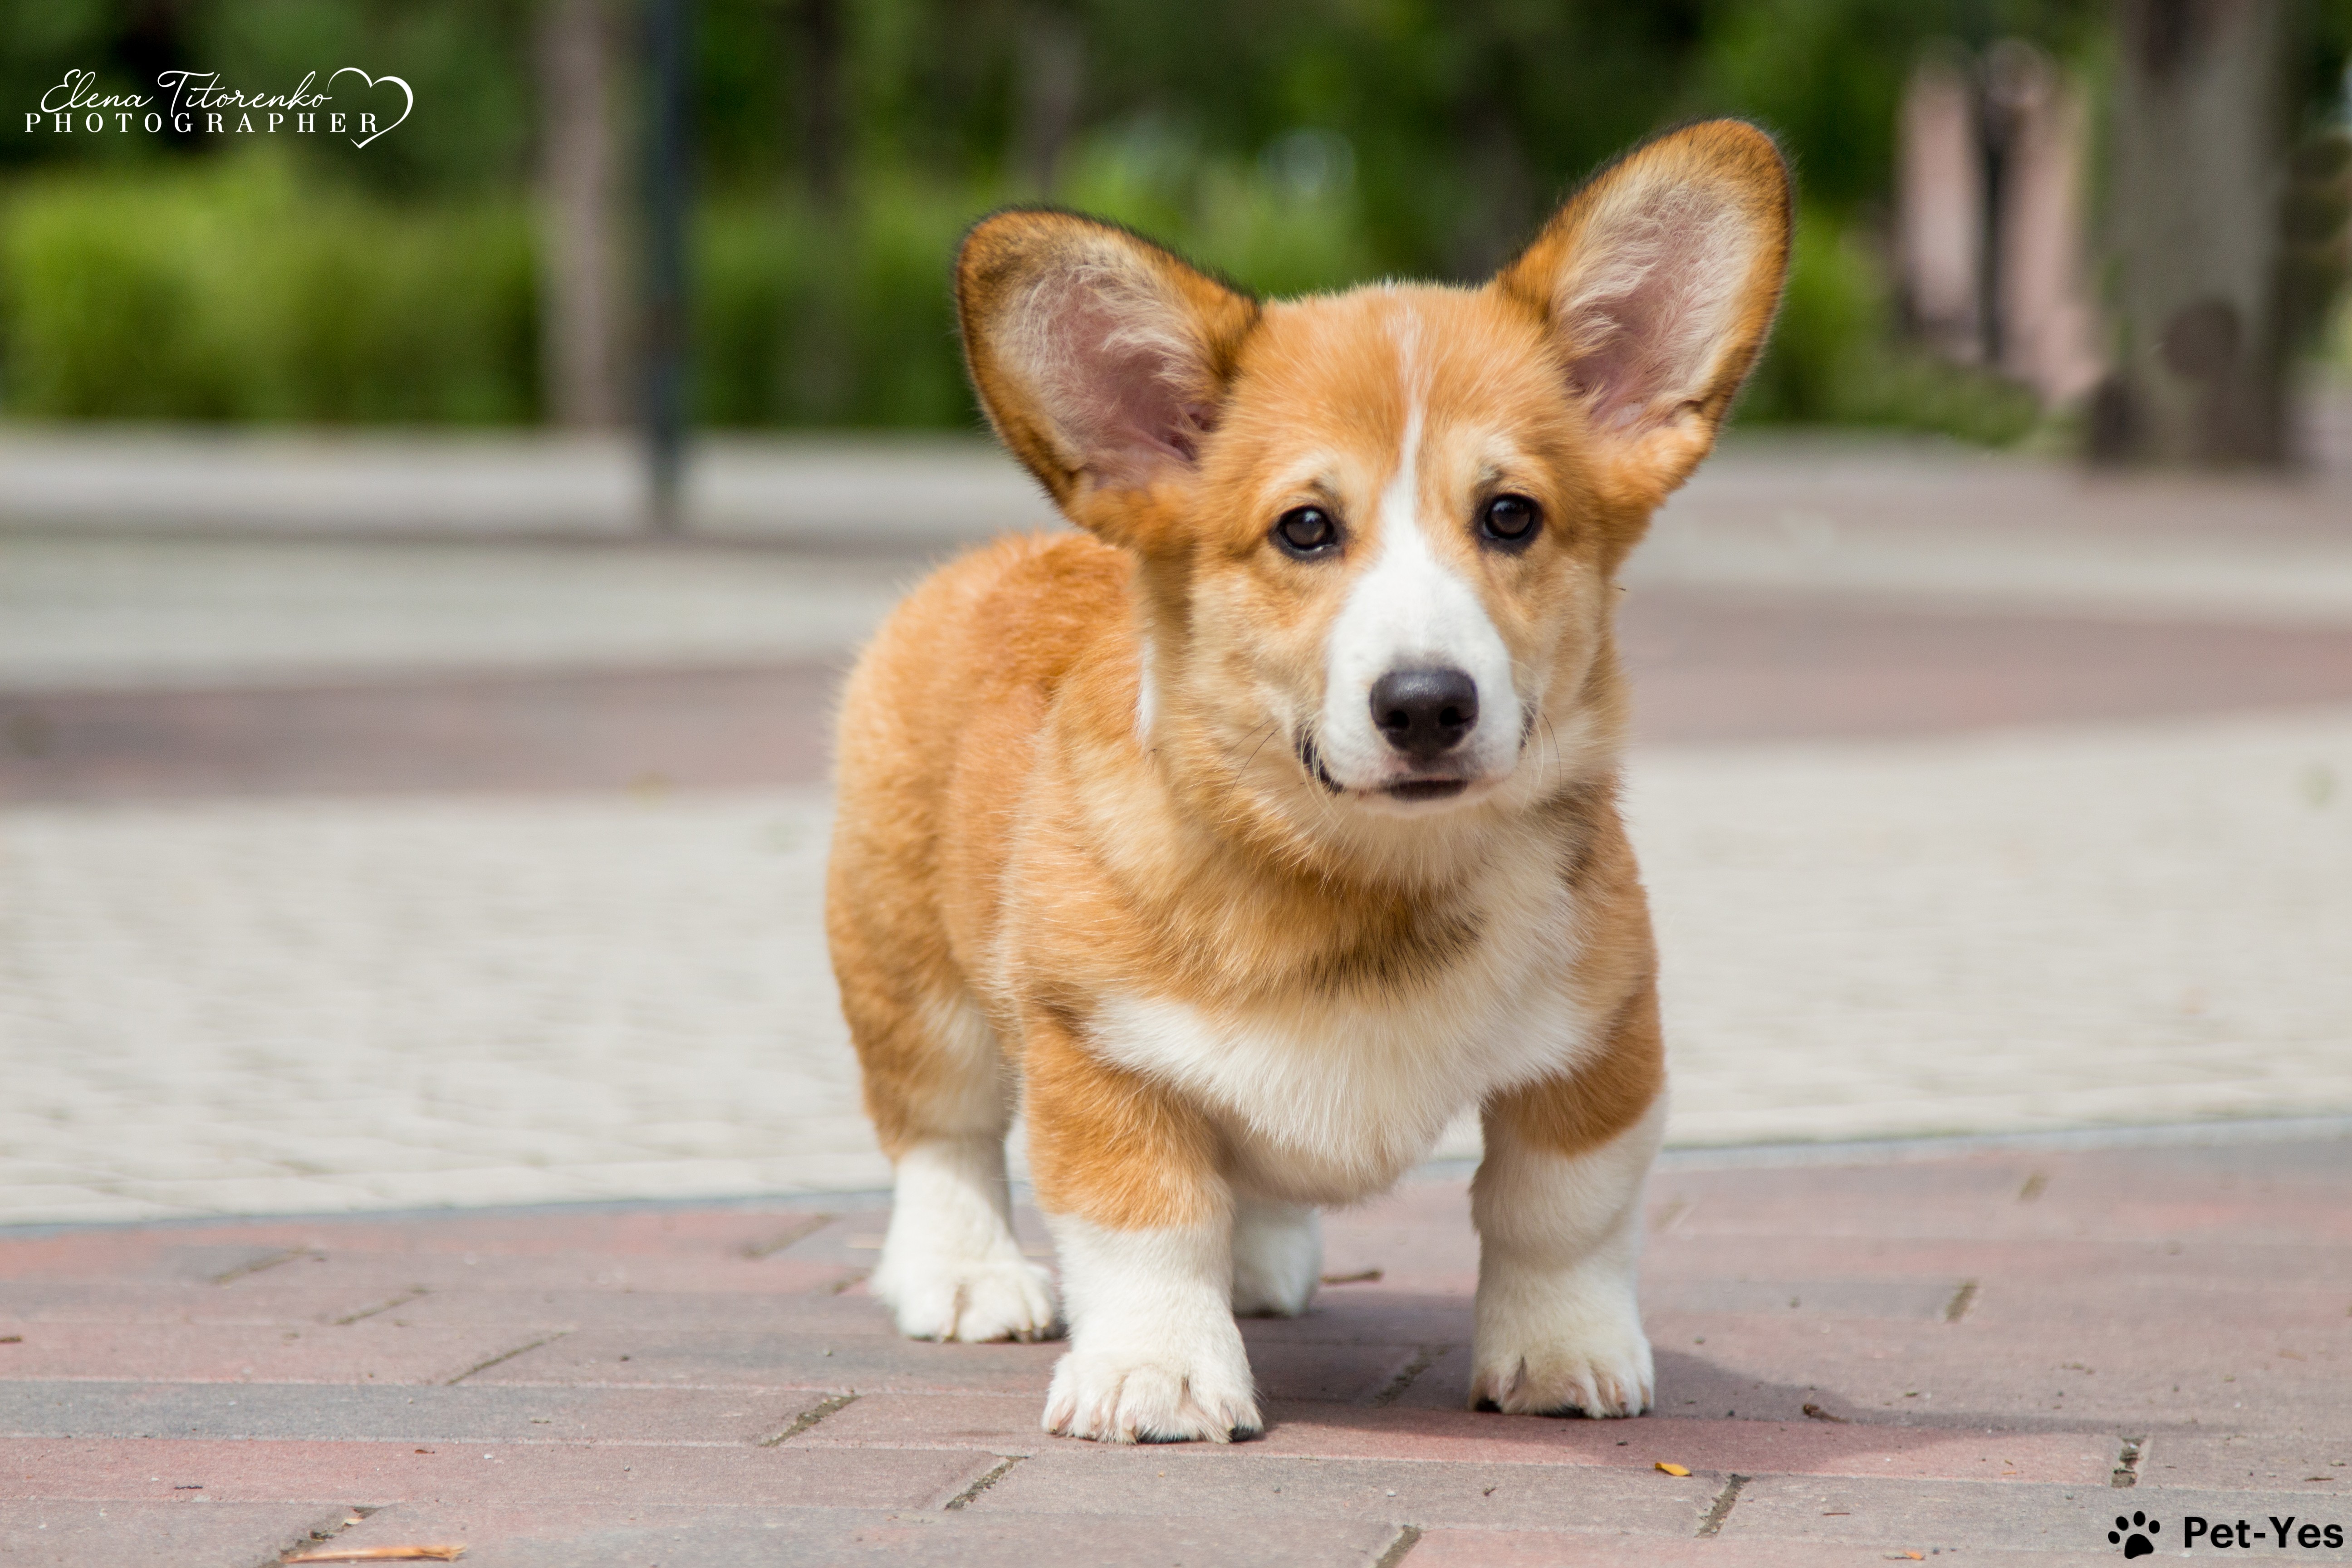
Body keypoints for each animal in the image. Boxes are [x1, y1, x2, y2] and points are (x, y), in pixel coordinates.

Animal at [823, 122, 1778, 1448]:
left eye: (1511, 515)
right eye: (1307, 529)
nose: (1426, 705)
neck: (1360, 874)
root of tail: (997, 556)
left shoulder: (1599, 1044)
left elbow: (1559, 1213)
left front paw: (1561, 1354)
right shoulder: (1095, 1046)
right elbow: (1146, 1219)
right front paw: (1159, 1375)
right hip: (912, 973)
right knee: (938, 1129)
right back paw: (965, 1275)